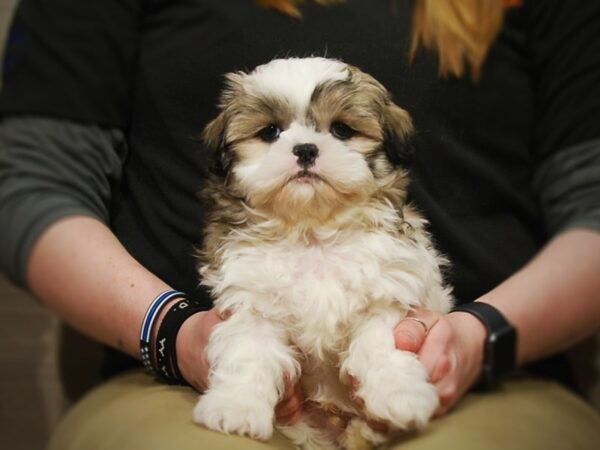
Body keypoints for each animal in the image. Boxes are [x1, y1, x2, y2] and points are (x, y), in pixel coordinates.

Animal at [195, 57, 452, 450]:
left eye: (342, 130)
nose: (305, 149)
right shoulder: (252, 302)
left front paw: (399, 394)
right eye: (270, 132)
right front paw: (235, 407)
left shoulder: (386, 295)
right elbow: (249, 352)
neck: (312, 232)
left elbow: (380, 344)